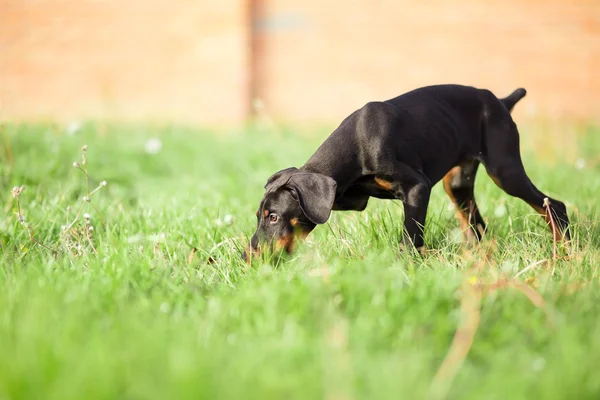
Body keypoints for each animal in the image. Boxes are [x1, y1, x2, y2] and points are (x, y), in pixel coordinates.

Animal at [245, 84, 572, 260]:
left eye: (273, 217)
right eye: (260, 215)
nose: (247, 256)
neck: (357, 141)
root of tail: (501, 102)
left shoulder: (417, 188)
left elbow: (410, 238)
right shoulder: (351, 197)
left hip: (504, 170)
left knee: (554, 205)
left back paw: (566, 251)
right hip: (458, 184)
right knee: (478, 225)